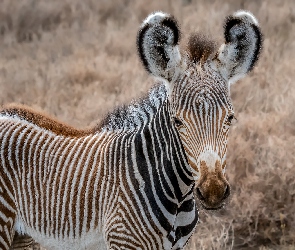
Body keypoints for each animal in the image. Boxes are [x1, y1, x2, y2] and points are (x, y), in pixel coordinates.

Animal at [1, 9, 262, 250]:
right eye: (177, 122)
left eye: (230, 118)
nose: (213, 191)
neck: (178, 196)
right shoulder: (123, 241)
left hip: (22, 236)